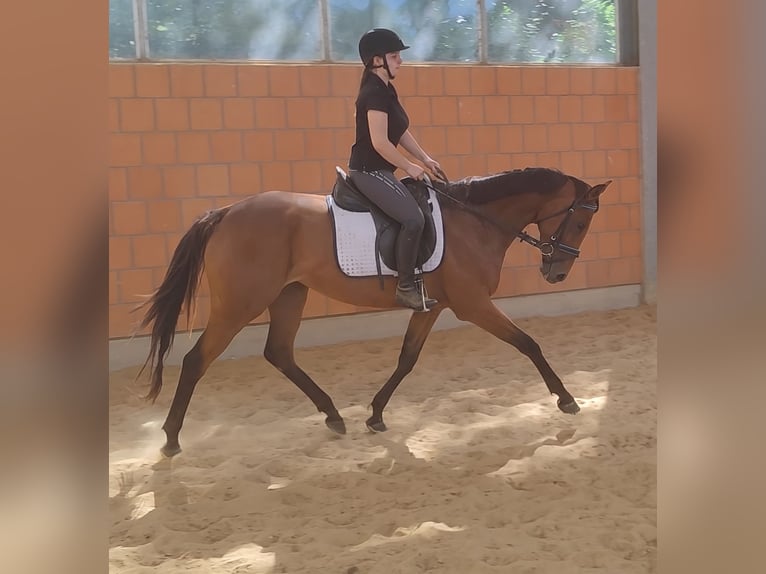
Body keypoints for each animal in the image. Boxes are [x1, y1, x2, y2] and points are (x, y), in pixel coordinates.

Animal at [135, 166, 611, 457]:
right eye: (581, 222)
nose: (557, 272)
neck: (474, 222)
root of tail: (227, 212)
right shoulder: (473, 305)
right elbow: (528, 343)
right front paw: (566, 398)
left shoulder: (432, 306)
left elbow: (407, 358)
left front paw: (376, 414)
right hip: (241, 303)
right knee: (197, 360)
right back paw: (171, 438)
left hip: (289, 295)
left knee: (279, 353)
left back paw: (333, 415)